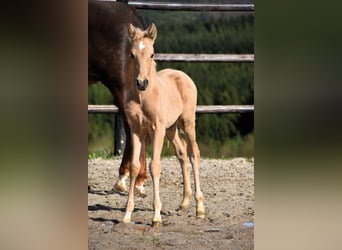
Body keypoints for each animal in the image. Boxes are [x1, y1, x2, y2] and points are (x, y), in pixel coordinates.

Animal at [121, 23, 204, 227]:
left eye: (152, 54)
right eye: (132, 55)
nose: (141, 83)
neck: (143, 97)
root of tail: (183, 75)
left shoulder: (157, 129)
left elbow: (155, 166)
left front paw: (156, 216)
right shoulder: (136, 130)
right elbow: (134, 166)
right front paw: (127, 214)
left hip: (187, 122)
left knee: (194, 154)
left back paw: (199, 208)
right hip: (171, 128)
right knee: (182, 152)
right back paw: (184, 203)